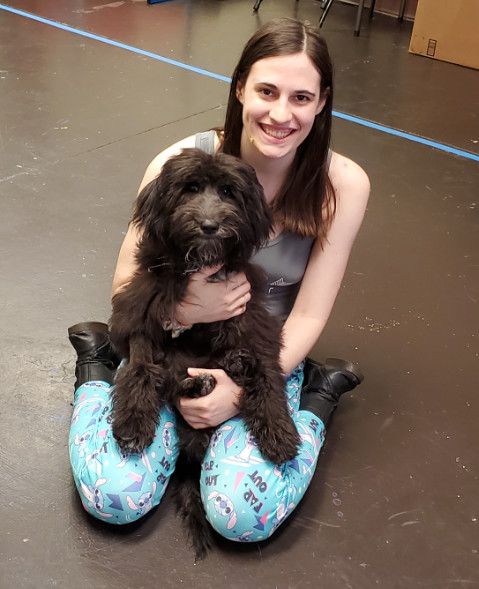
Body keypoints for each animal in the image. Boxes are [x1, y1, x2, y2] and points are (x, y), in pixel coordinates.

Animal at [109, 148, 301, 559]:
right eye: (190, 188)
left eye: (228, 192)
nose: (210, 225)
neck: (198, 263)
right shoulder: (140, 312)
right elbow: (141, 367)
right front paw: (132, 423)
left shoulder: (251, 317)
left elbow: (268, 371)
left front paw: (278, 430)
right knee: (172, 380)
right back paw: (200, 385)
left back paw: (234, 365)